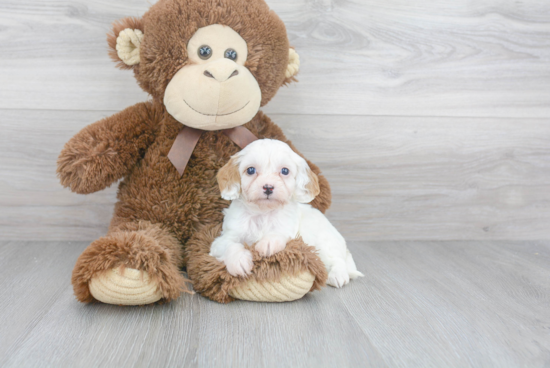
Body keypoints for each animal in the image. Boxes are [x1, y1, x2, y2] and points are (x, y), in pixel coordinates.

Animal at [209, 138, 364, 288]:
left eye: (284, 171)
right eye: (251, 170)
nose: (268, 187)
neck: (263, 212)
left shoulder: (289, 231)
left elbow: (279, 234)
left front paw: (268, 242)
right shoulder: (223, 239)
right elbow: (230, 245)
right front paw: (239, 261)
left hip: (326, 243)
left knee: (337, 260)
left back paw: (338, 275)